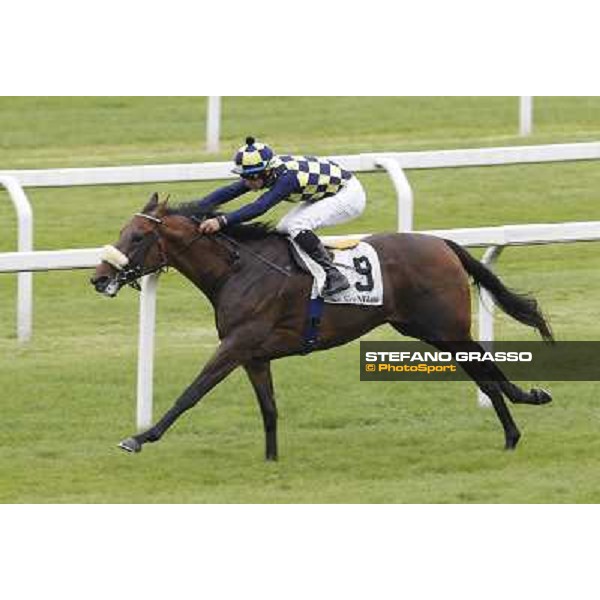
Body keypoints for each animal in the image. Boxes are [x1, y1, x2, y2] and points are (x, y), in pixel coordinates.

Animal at [90, 192, 552, 460]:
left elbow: (192, 392)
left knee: (487, 370)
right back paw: (514, 429)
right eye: (122, 231)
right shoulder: (254, 355)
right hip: (425, 331)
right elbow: (269, 408)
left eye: (136, 237)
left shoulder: (236, 344)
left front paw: (140, 437)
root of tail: (442, 243)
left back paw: (525, 407)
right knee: (483, 374)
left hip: (445, 328)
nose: (98, 277)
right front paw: (271, 462)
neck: (237, 269)